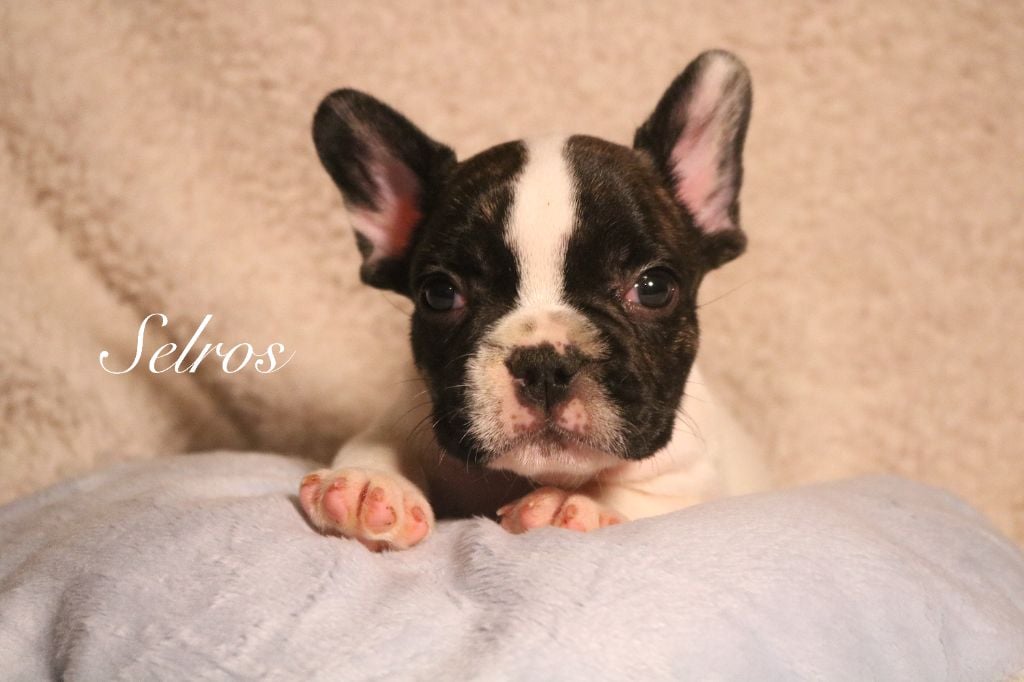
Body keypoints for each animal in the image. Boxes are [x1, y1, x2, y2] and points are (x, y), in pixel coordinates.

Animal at [299, 50, 769, 551]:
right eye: (440, 294)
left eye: (654, 287)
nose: (544, 364)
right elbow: (377, 445)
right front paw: (369, 484)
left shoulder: (693, 482)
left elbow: (641, 492)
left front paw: (577, 504)